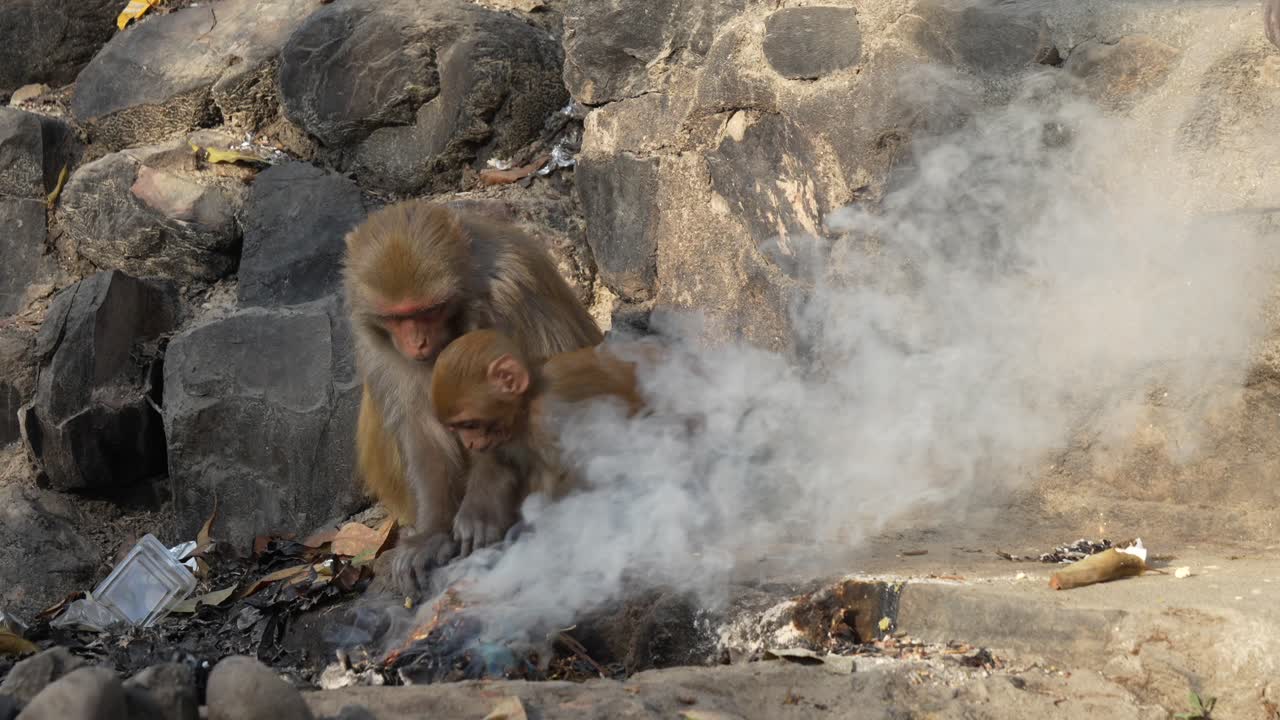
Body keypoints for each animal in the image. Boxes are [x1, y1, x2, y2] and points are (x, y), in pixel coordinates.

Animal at [343, 200, 603, 591]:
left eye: (428, 311)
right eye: (397, 318)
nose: (417, 342)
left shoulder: (513, 296)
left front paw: (482, 508)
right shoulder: (373, 340)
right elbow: (419, 431)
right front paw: (430, 535)